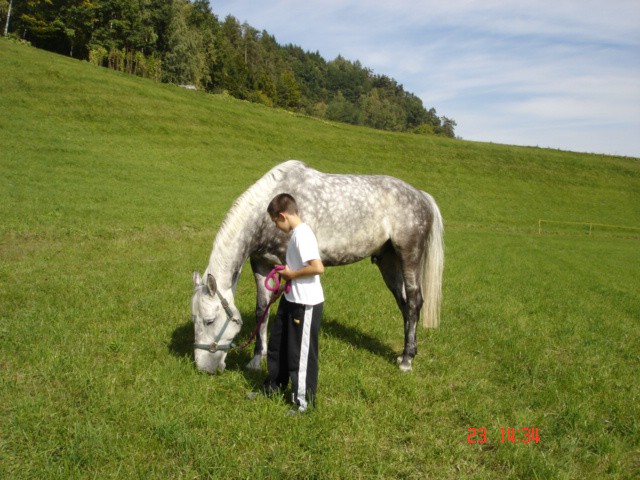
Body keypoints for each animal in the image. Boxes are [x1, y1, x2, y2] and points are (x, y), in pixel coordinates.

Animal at [191, 161, 444, 376]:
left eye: (209, 321)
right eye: (195, 319)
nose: (204, 368)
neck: (264, 219)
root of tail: (421, 196)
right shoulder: (261, 264)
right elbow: (261, 310)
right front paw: (255, 360)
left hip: (409, 256)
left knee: (414, 302)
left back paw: (406, 360)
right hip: (388, 262)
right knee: (404, 305)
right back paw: (406, 352)